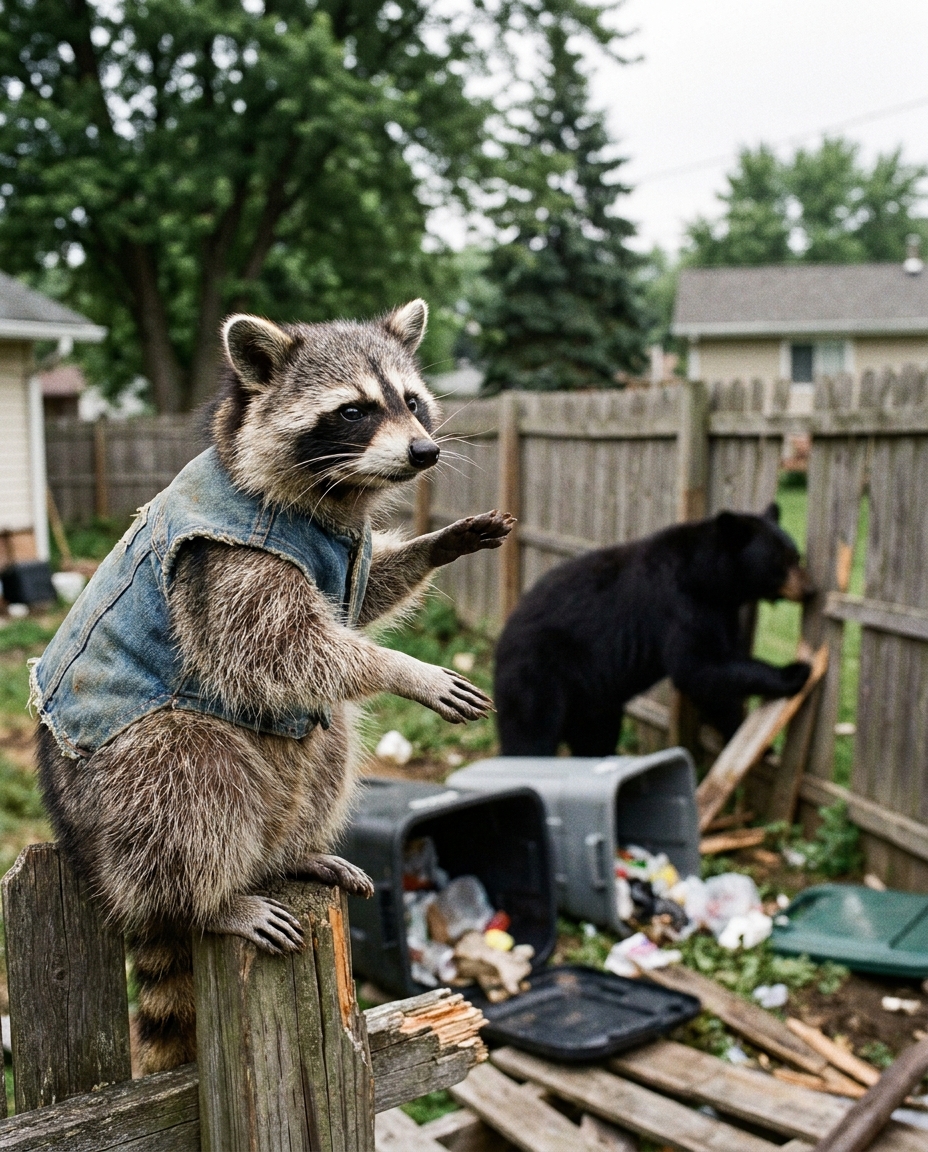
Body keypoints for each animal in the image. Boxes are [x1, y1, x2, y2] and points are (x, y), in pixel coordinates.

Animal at [33, 300, 513, 1073]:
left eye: (412, 402)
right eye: (353, 410)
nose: (424, 454)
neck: (327, 502)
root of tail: (83, 847)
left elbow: (362, 602)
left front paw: (434, 545)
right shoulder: (225, 569)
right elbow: (282, 650)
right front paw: (404, 669)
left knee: (328, 736)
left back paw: (295, 853)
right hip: (118, 786)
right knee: (188, 775)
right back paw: (205, 903)